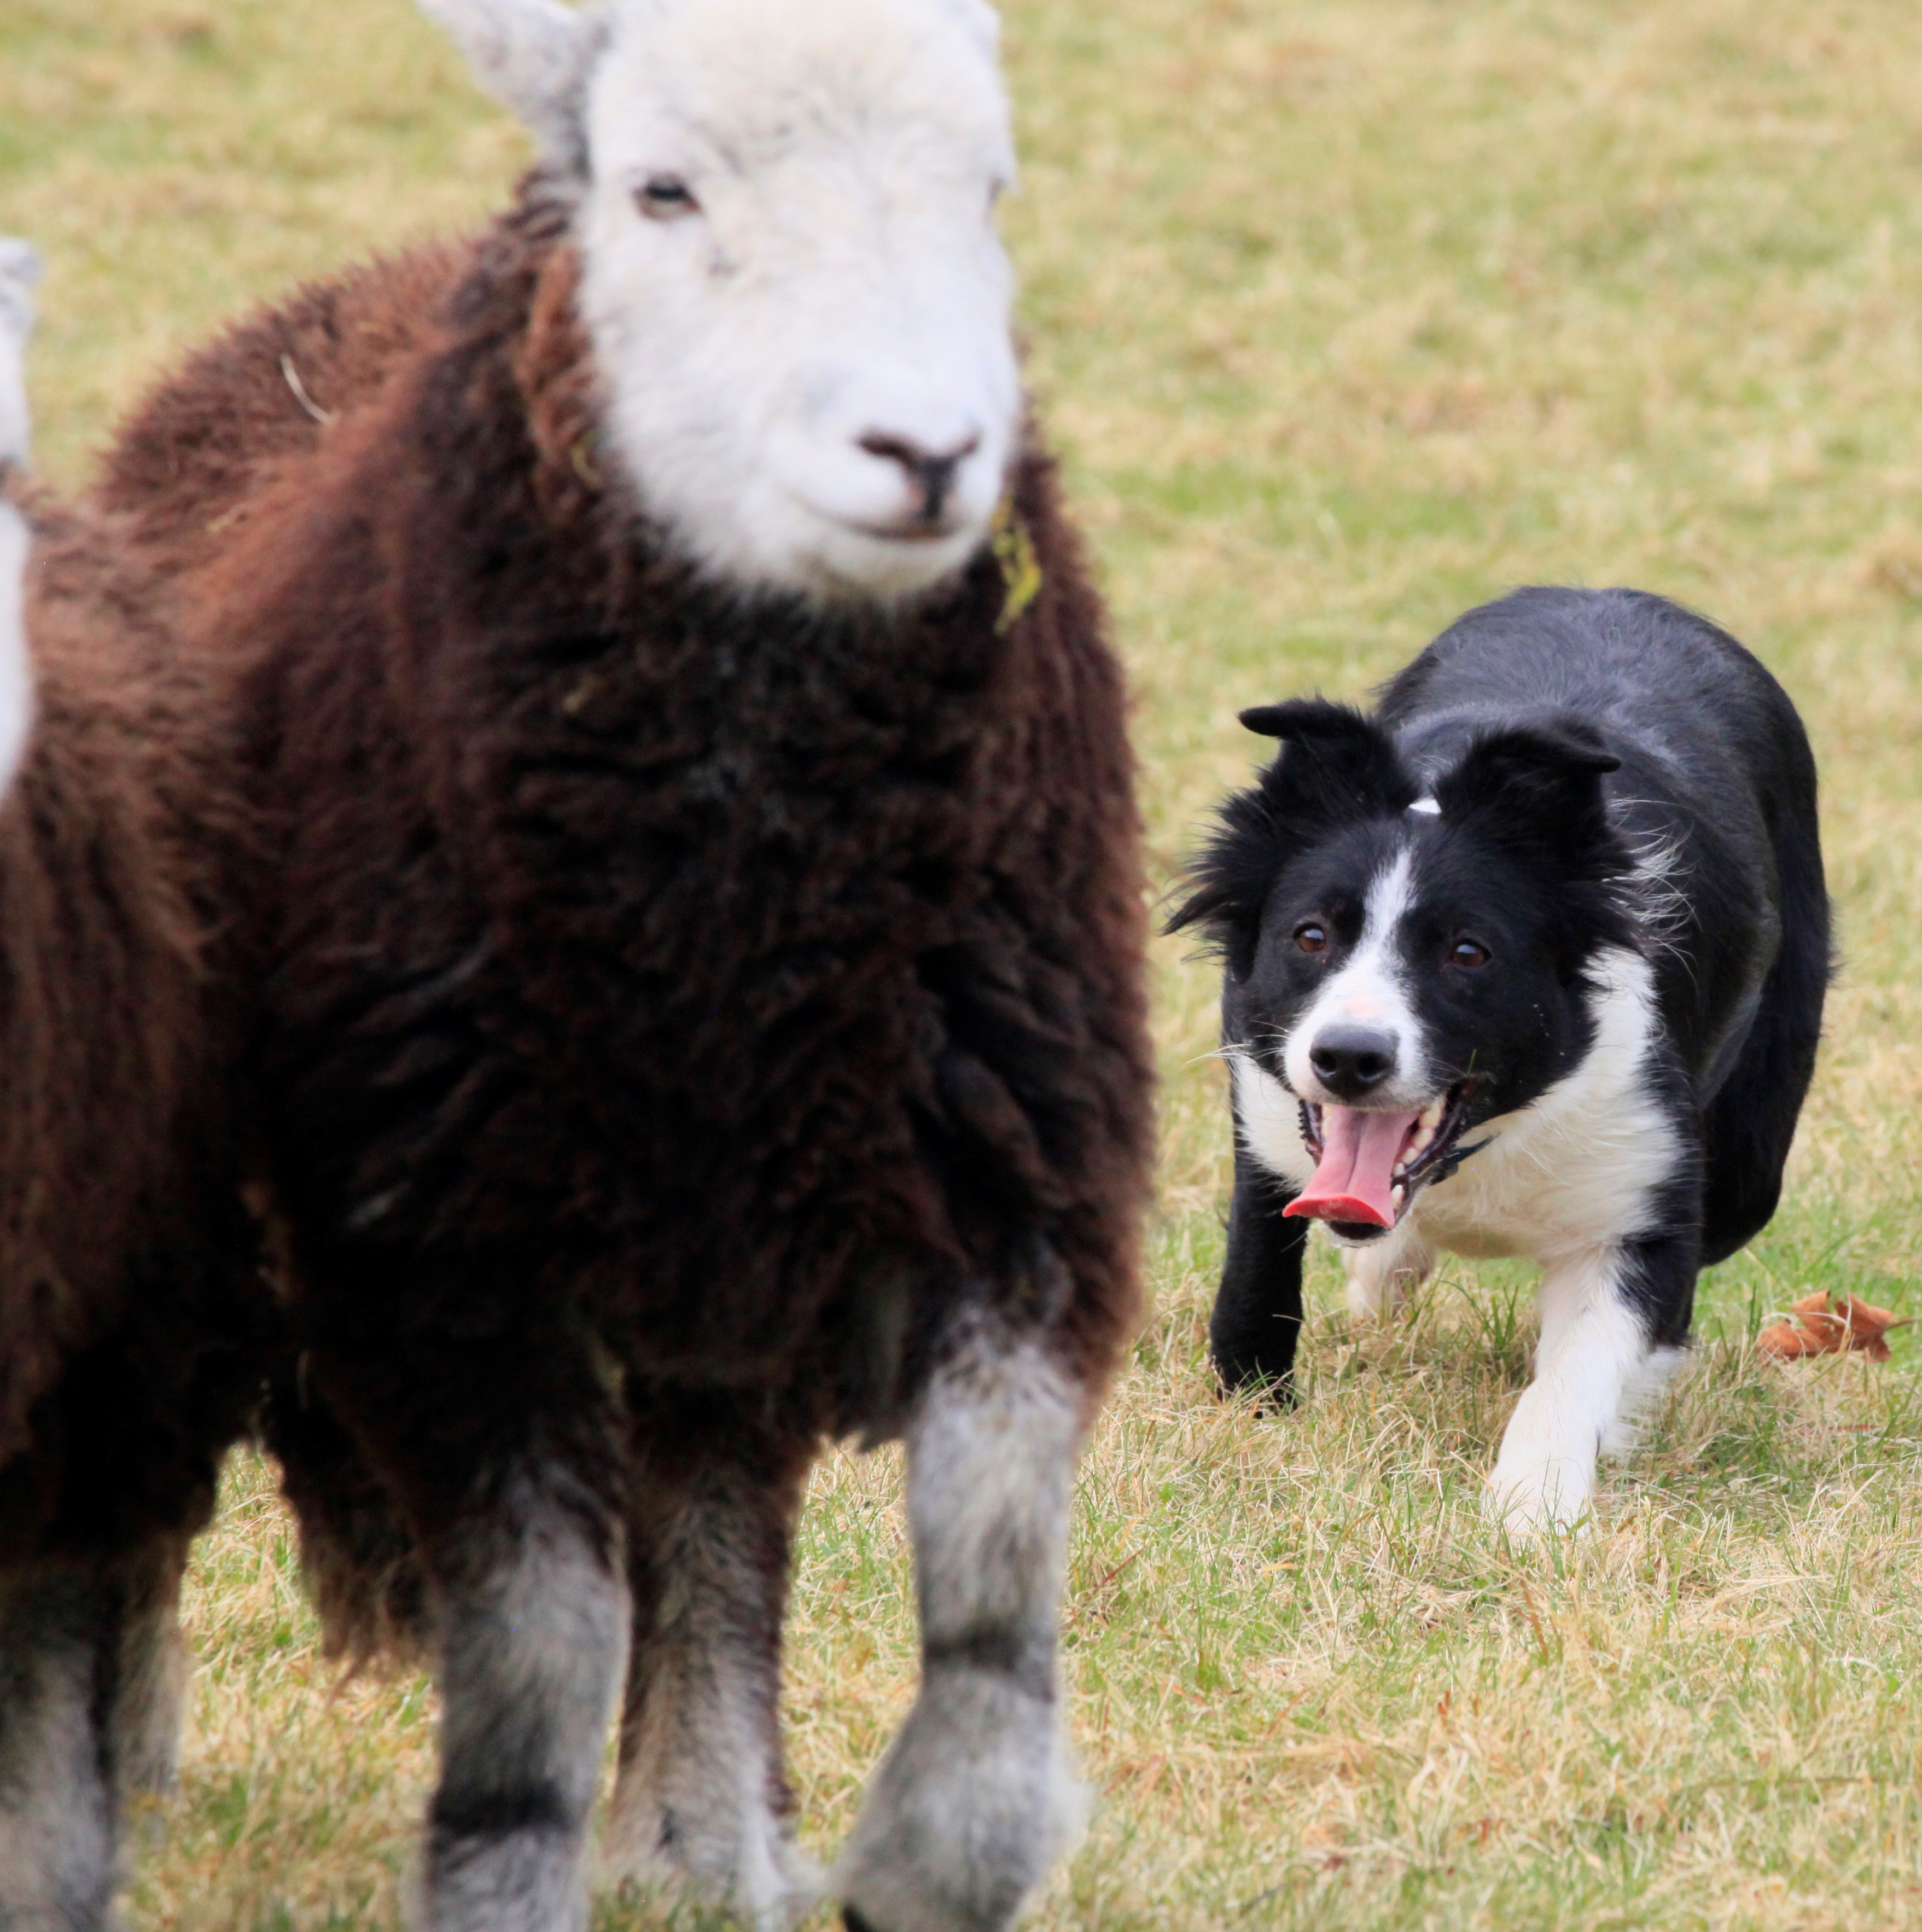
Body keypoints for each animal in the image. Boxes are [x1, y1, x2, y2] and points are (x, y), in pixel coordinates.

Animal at [101, 3, 1158, 1932]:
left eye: (987, 189)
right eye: (664, 190)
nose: (928, 454)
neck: (742, 935)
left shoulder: (1005, 1153)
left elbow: (982, 1546)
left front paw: (929, 1846)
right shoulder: (447, 1247)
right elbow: (543, 1617)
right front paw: (511, 1865)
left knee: (711, 1512)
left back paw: (692, 1827)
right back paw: (123, 1759)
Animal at [1174, 583, 1831, 1522]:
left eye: (1467, 953)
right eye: (1310, 936)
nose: (1348, 1057)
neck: (1488, 1135)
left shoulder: (1642, 1182)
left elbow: (1582, 1361)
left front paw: (1532, 1507)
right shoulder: (1265, 1113)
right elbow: (1257, 1272)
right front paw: (1256, 1405)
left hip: (1751, 1154)